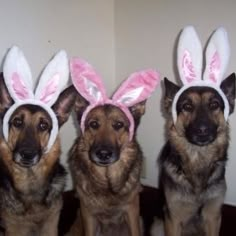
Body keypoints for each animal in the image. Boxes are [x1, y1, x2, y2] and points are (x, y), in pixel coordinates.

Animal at [159, 73, 235, 235]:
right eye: (187, 106)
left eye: (214, 105)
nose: (202, 130)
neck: (198, 156)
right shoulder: (173, 219)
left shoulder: (213, 217)